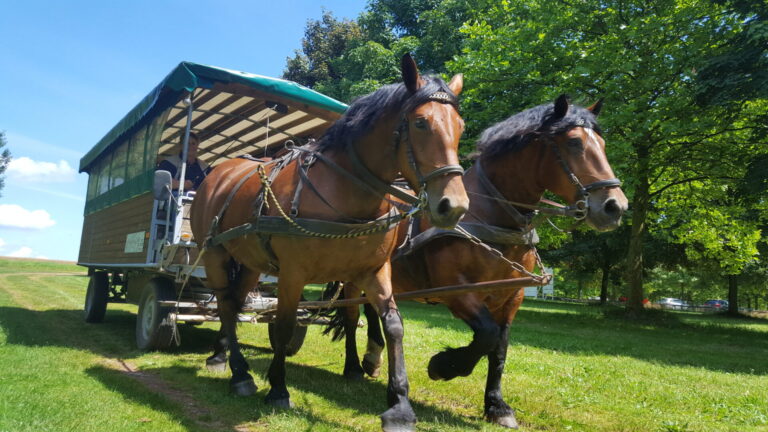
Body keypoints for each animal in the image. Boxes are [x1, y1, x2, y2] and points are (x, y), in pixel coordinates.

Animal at [190, 54, 468, 432]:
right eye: (421, 123)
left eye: (461, 126)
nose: (454, 205)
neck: (344, 191)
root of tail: (218, 172)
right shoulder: (293, 274)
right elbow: (285, 325)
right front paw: (278, 389)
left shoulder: (373, 271)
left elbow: (393, 326)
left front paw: (398, 404)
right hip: (215, 254)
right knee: (225, 304)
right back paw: (238, 372)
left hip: (250, 263)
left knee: (234, 302)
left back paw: (227, 359)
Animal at [328, 94, 628, 428]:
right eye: (574, 142)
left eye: (602, 143)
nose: (615, 206)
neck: (491, 218)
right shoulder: (458, 291)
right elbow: (486, 335)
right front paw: (443, 365)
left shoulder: (512, 297)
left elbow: (500, 349)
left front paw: (496, 405)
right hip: (354, 275)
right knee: (352, 315)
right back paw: (354, 366)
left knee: (373, 310)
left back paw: (373, 357)